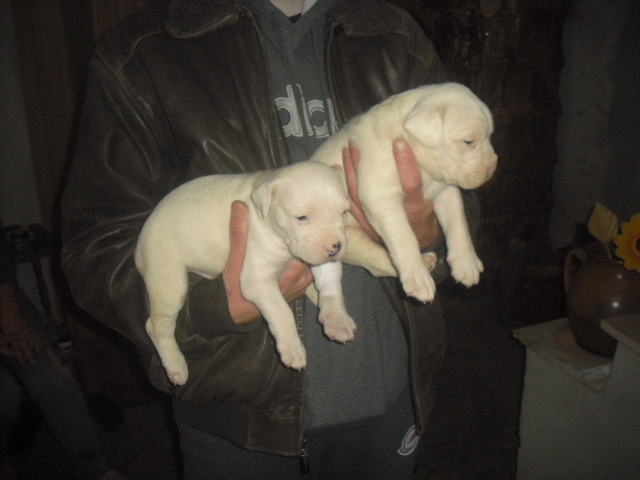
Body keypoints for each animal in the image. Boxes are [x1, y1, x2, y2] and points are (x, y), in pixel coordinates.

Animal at [135, 162, 355, 385]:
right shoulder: (257, 280)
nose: (335, 248)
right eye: (301, 217)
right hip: (169, 281)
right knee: (156, 327)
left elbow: (330, 283)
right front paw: (293, 348)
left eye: (344, 211)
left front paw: (337, 320)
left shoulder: (318, 258)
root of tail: (141, 242)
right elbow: (281, 311)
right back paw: (175, 365)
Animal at [310, 82, 498, 303]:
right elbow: (404, 236)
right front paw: (418, 279)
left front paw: (466, 262)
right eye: (468, 141)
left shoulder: (446, 190)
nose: (492, 168)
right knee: (378, 261)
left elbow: (457, 223)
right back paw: (422, 267)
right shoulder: (381, 197)